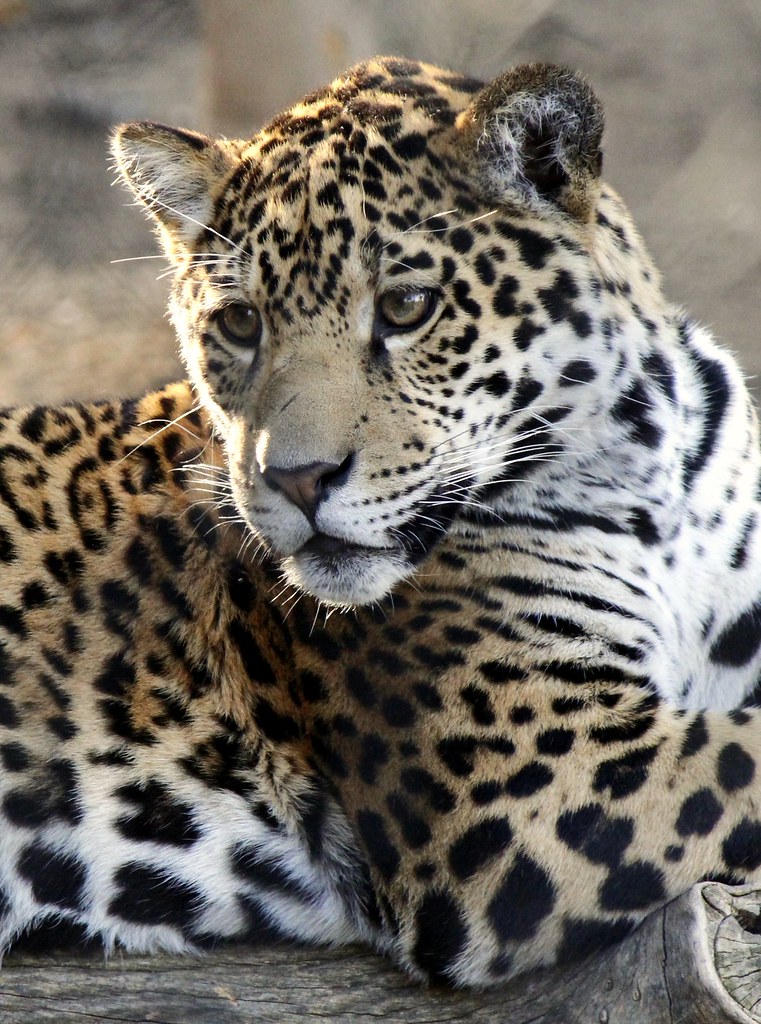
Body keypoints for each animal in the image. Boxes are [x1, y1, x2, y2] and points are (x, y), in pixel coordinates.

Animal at [2, 56, 761, 989]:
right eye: (241, 322)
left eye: (406, 306)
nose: (295, 479)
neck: (644, 477)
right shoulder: (535, 781)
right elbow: (746, 759)